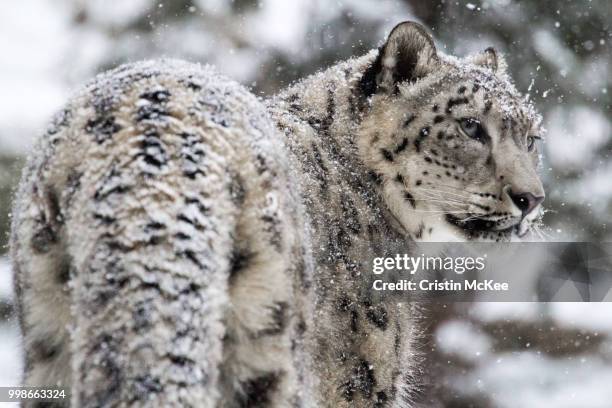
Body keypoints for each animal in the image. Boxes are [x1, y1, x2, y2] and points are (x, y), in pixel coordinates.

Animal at [10, 21, 544, 408]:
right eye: (471, 126)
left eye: (532, 137)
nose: (531, 199)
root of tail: (152, 138)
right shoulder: (362, 376)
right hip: (268, 330)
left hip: (48, 326)